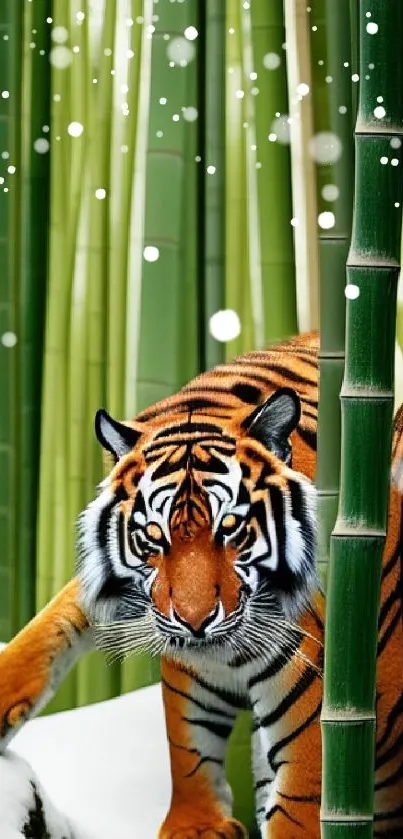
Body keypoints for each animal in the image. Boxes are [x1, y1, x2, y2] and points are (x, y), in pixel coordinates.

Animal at [0, 330, 403, 839]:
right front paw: (196, 823)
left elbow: (300, 802)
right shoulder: (184, 668)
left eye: (232, 528)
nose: (194, 622)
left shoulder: (318, 713)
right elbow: (186, 740)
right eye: (152, 536)